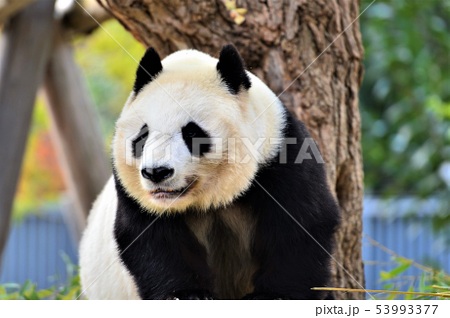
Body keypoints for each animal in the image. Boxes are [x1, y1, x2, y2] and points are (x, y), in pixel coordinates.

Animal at [80, 44, 342, 300]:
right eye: (143, 135)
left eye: (191, 132)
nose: (157, 172)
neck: (210, 198)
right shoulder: (132, 193)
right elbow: (153, 239)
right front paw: (185, 294)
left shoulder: (280, 156)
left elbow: (300, 225)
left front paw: (273, 295)